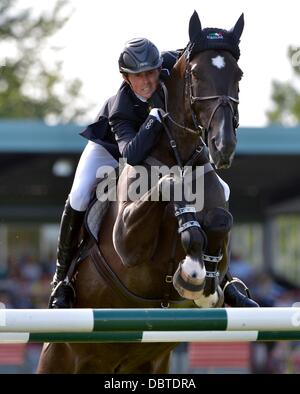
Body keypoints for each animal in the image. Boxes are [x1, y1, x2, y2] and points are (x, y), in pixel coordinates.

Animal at [37, 10, 244, 374]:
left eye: (239, 74)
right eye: (195, 74)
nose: (223, 147)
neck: (176, 150)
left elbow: (219, 222)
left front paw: (205, 280)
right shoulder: (127, 242)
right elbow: (169, 185)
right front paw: (192, 266)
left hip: (151, 363)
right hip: (62, 358)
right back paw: (60, 293)